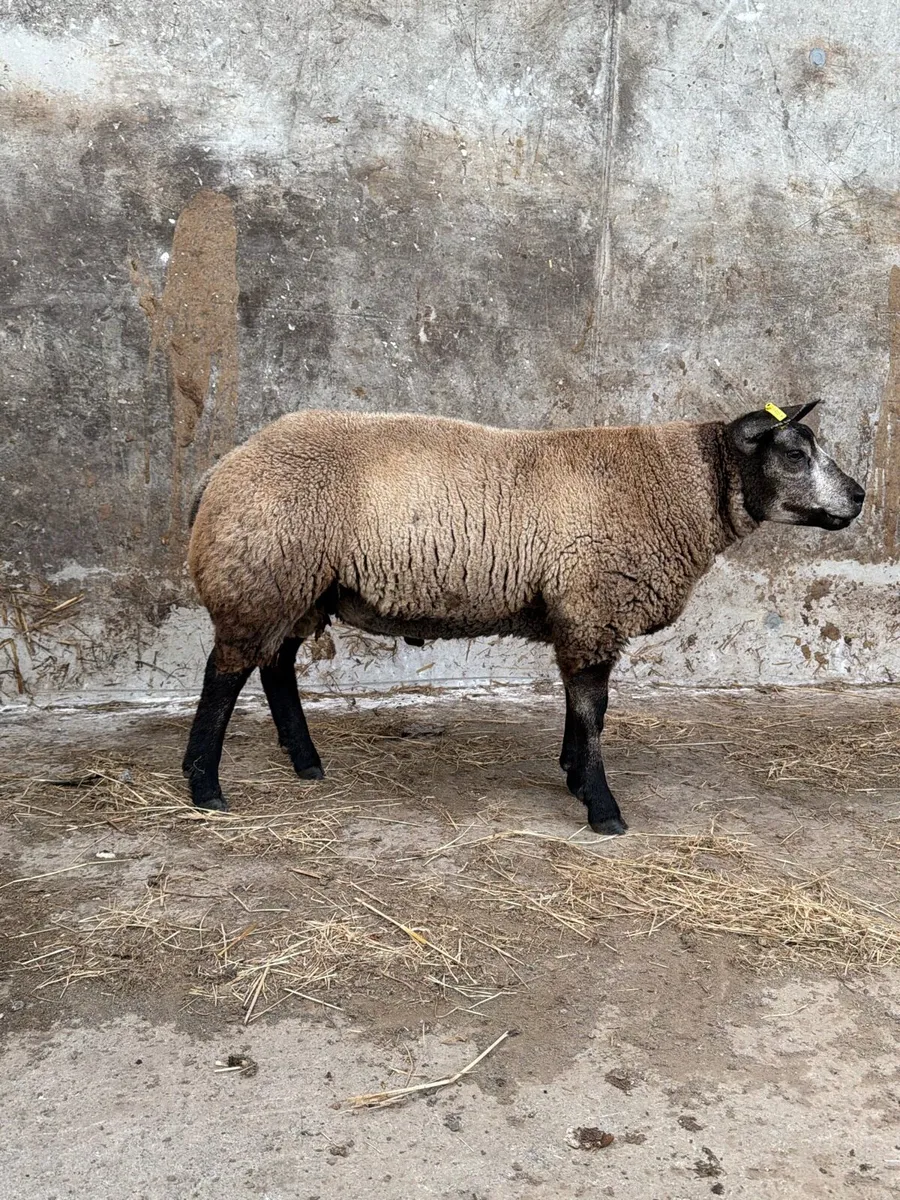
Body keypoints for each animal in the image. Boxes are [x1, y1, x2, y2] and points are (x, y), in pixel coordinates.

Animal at [183, 401, 865, 833]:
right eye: (795, 454)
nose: (859, 497)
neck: (682, 487)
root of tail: (220, 468)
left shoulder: (579, 612)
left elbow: (584, 707)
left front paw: (573, 775)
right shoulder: (594, 605)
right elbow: (592, 709)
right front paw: (602, 808)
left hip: (300, 585)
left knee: (275, 666)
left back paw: (305, 761)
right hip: (262, 573)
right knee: (225, 673)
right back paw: (205, 787)